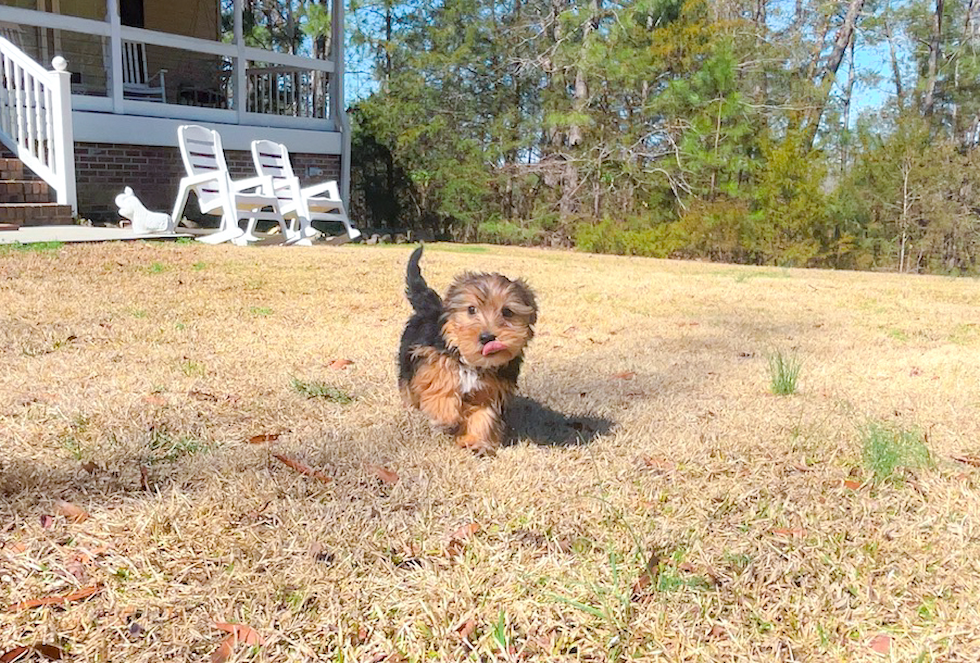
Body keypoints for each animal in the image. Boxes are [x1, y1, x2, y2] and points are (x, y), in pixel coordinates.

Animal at [396, 246, 536, 454]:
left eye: (507, 312)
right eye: (471, 309)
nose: (487, 337)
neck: (473, 363)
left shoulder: (491, 389)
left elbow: (484, 414)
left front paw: (476, 441)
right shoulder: (430, 357)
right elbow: (440, 382)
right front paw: (447, 416)